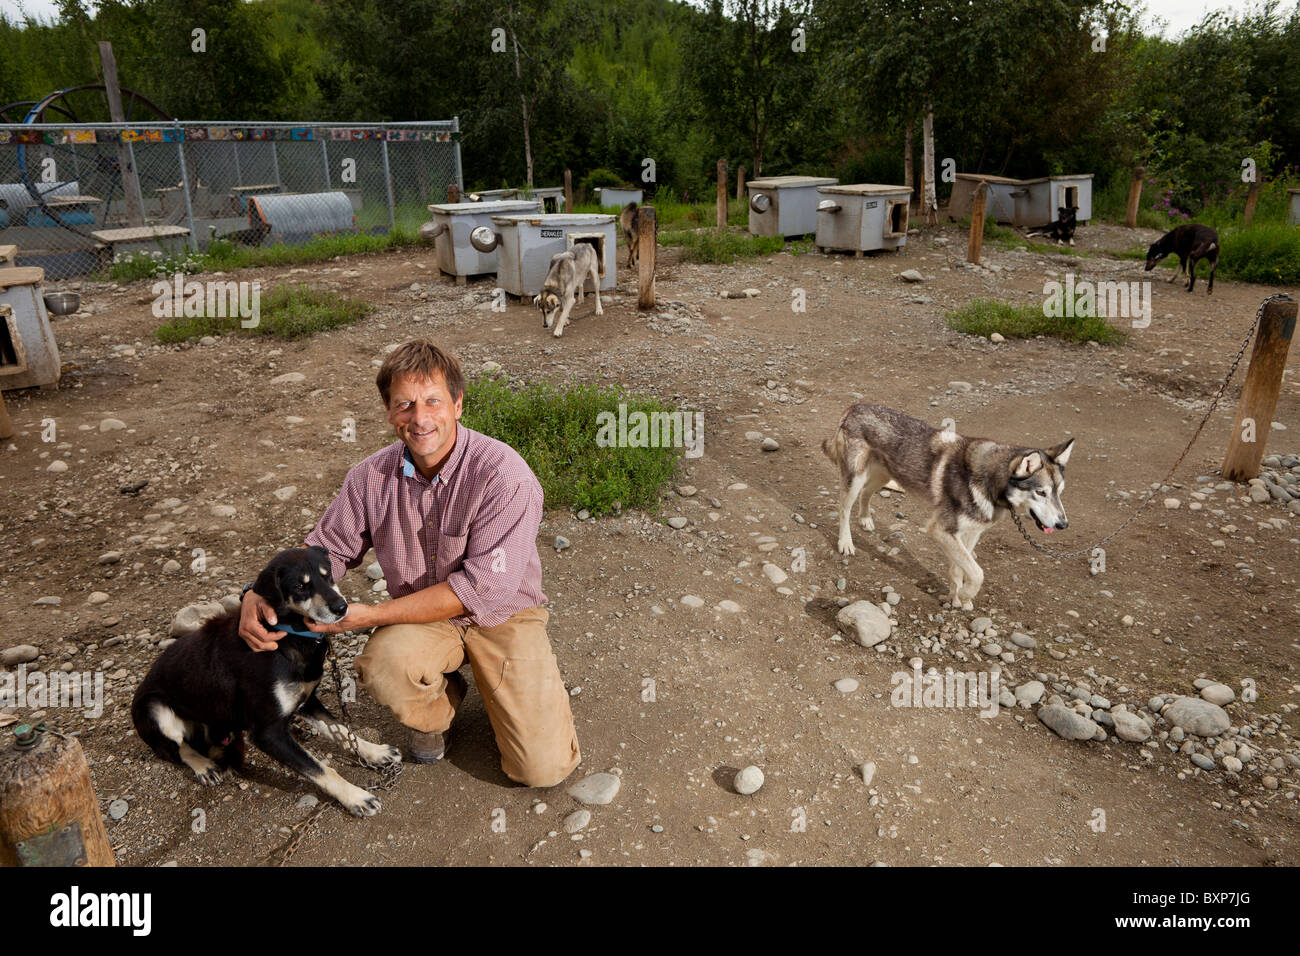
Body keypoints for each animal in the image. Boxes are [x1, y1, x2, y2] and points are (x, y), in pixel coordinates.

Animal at [131, 546, 397, 816]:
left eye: (328, 575)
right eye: (300, 587)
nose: (341, 607)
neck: (288, 633)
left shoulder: (308, 700)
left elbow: (341, 730)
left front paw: (374, 752)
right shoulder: (267, 732)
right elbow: (320, 768)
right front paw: (356, 796)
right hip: (153, 707)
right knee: (178, 748)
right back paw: (204, 766)